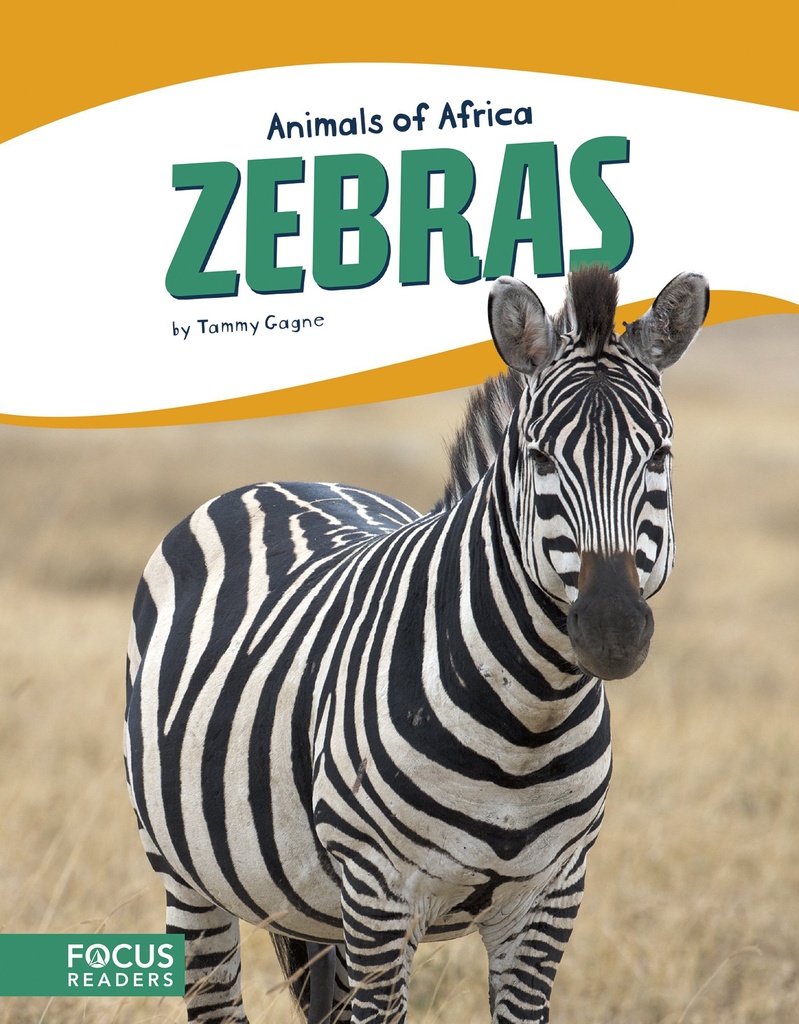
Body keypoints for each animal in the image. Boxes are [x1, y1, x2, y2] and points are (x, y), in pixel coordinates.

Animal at [124, 265, 709, 1024]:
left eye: (659, 454)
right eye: (538, 456)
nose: (613, 632)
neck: (529, 717)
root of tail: (281, 479)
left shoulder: (550, 899)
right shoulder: (381, 893)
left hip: (316, 908)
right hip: (188, 879)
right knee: (214, 997)